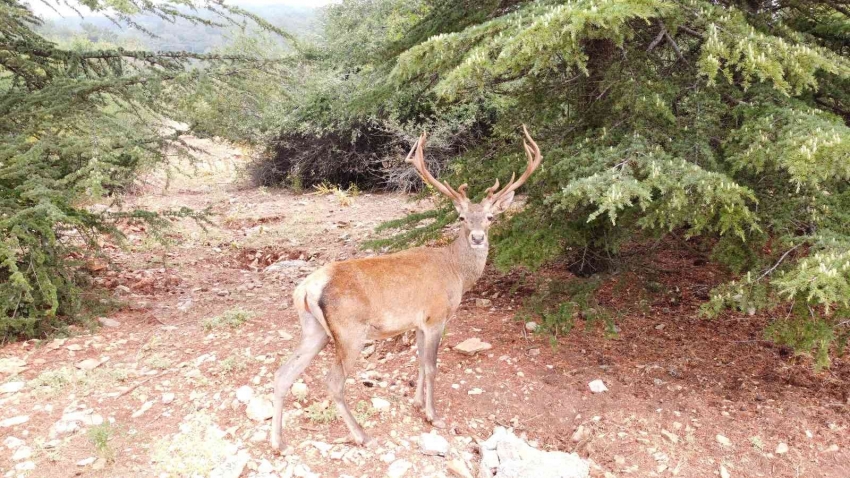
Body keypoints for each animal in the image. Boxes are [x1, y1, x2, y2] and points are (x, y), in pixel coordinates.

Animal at [268, 124, 540, 452]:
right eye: (461, 217)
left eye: (490, 217)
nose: (477, 237)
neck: (456, 273)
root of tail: (306, 289)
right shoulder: (436, 315)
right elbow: (432, 366)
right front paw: (434, 416)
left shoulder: (418, 323)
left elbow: (420, 362)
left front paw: (417, 402)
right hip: (350, 331)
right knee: (333, 382)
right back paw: (361, 435)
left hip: (314, 330)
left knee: (283, 373)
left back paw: (278, 442)